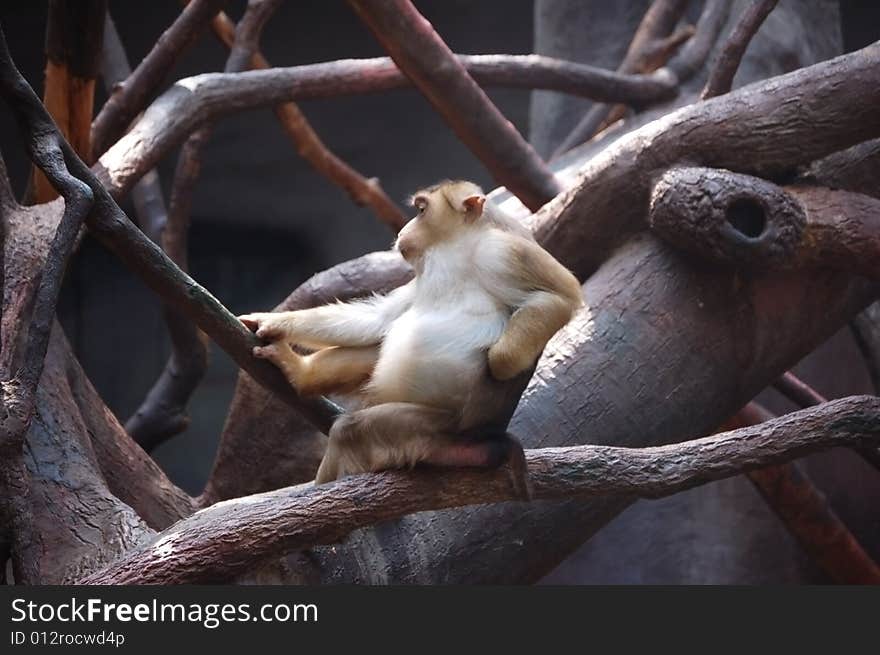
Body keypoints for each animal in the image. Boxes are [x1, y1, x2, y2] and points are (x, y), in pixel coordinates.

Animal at [241, 179, 584, 498]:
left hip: (433, 430)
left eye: (421, 210)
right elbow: (379, 320)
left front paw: (499, 363)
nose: (405, 229)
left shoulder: (503, 252)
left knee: (353, 431)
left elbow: (562, 296)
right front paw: (273, 322)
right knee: (373, 349)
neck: (455, 247)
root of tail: (479, 439)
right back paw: (301, 374)